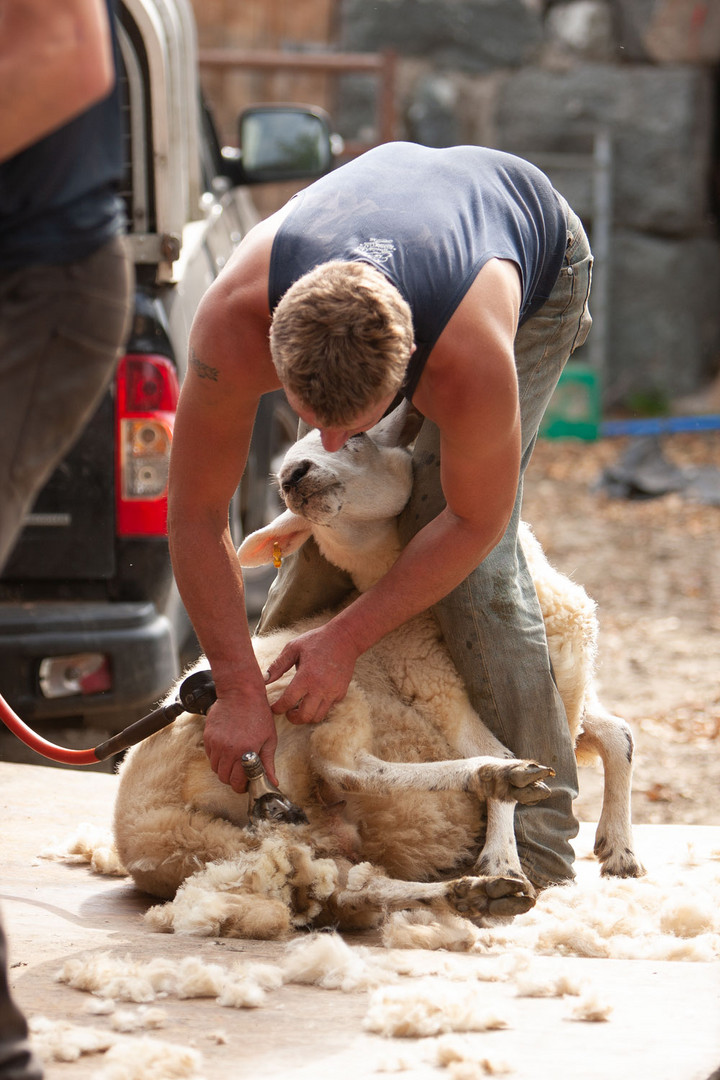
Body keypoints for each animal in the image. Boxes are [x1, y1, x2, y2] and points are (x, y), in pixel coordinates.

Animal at [115, 406, 643, 937]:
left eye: (358, 437)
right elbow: (519, 746)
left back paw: (478, 892)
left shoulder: (573, 695)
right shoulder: (438, 688)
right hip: (305, 692)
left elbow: (618, 733)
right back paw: (496, 784)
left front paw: (618, 849)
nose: (291, 477)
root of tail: (137, 828)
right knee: (343, 763)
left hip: (283, 843)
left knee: (353, 883)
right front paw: (503, 856)